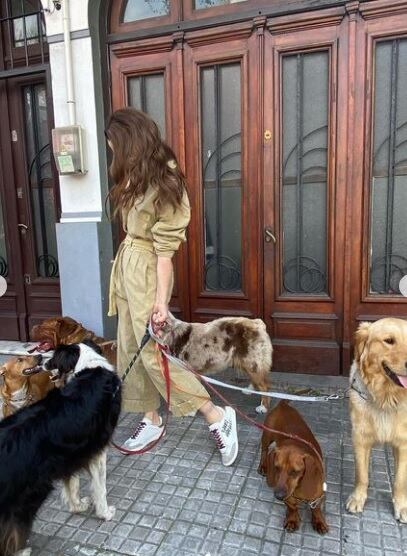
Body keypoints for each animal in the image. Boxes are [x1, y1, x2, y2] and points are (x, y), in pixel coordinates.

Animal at [260, 400, 330, 536]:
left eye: (295, 471)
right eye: (276, 468)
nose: (279, 496)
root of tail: (282, 404)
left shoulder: (318, 495)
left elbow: (316, 509)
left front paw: (319, 521)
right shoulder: (288, 497)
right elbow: (292, 507)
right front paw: (292, 520)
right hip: (267, 435)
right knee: (264, 450)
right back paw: (262, 466)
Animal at [350, 320, 407, 524]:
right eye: (389, 341)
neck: (386, 399)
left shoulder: (403, 443)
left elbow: (399, 480)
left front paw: (402, 506)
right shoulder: (360, 438)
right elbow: (361, 474)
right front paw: (357, 498)